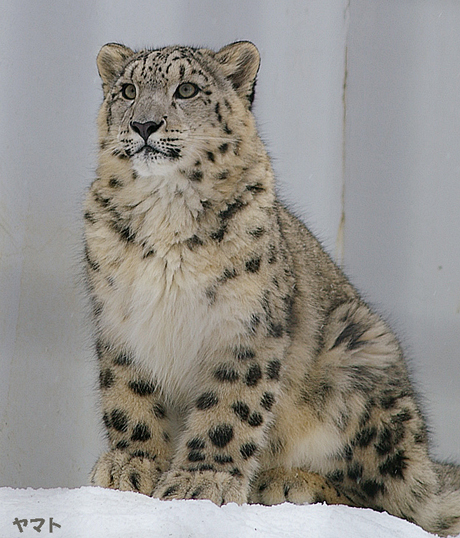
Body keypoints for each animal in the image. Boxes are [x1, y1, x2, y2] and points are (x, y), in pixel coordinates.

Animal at [86, 40, 460, 532]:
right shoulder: (122, 321)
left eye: (186, 89)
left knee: (394, 500)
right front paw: (130, 467)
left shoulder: (245, 328)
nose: (144, 124)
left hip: (360, 356)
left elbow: (229, 409)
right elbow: (130, 397)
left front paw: (200, 483)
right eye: (128, 90)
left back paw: (288, 481)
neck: (166, 213)